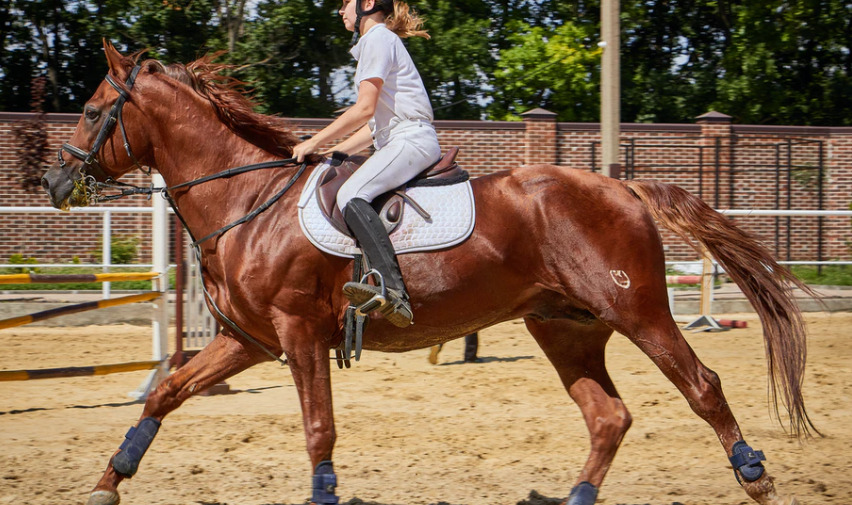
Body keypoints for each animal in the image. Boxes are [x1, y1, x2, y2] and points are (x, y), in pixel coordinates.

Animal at [41, 42, 820, 504]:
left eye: (89, 110)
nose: (52, 182)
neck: (246, 201)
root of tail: (622, 185)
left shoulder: (298, 334)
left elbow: (318, 429)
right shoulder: (249, 340)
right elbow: (165, 392)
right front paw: (110, 479)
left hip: (639, 312)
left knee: (701, 386)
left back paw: (754, 474)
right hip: (564, 327)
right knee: (608, 416)